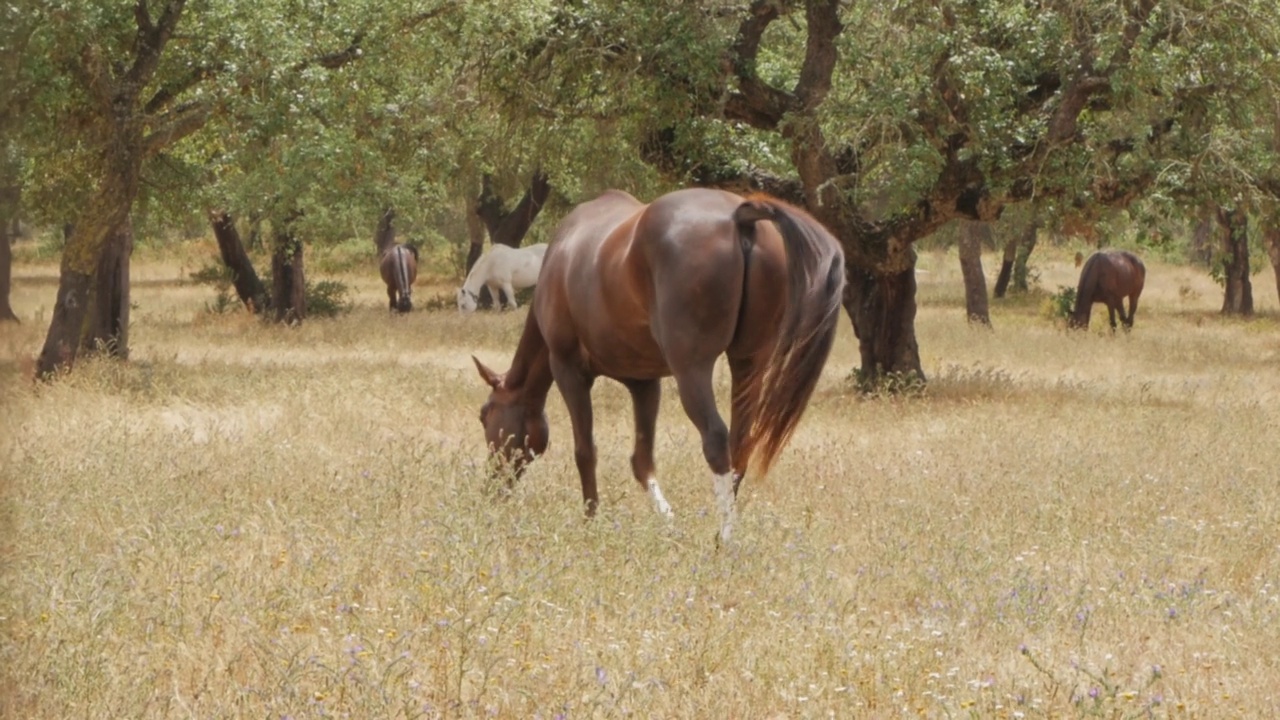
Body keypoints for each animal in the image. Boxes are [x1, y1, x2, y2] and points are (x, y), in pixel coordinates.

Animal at [476, 185, 844, 538]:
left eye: (484, 415)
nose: (490, 488)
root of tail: (739, 214)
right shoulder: (645, 383)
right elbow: (642, 460)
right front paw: (669, 522)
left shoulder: (568, 370)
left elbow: (585, 451)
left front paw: (591, 522)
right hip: (747, 365)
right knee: (740, 445)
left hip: (691, 371)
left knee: (716, 440)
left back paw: (725, 540)